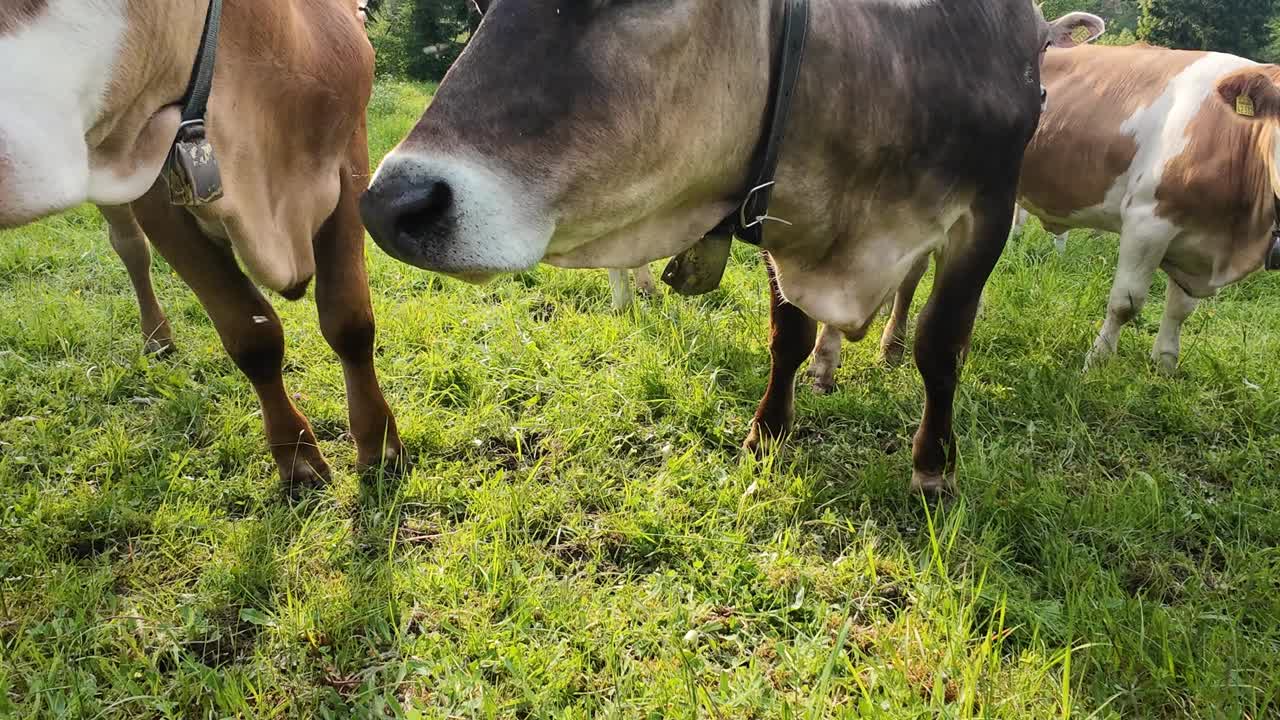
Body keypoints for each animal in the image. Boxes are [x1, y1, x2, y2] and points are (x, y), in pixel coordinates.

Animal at [1, 0, 399, 484]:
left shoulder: (349, 159)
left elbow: (349, 319)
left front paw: (380, 447)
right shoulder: (153, 188)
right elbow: (251, 333)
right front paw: (298, 457)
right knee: (129, 246)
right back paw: (157, 336)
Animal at [358, 0, 1100, 489]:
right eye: (482, 4)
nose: (390, 204)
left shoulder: (986, 216)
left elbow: (941, 346)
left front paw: (933, 466)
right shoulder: (778, 217)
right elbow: (787, 337)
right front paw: (768, 433)